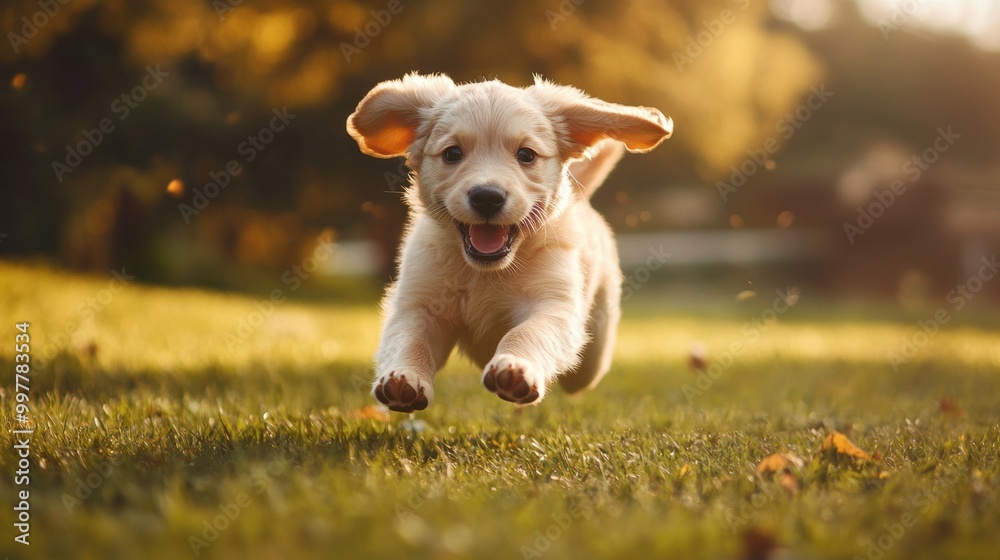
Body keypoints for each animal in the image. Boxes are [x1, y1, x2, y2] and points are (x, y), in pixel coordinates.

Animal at [346, 73, 672, 412]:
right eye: (452, 153)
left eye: (526, 155)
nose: (487, 197)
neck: (484, 272)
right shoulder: (418, 305)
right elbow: (410, 340)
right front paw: (403, 378)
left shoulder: (552, 304)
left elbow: (528, 333)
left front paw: (516, 368)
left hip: (594, 350)